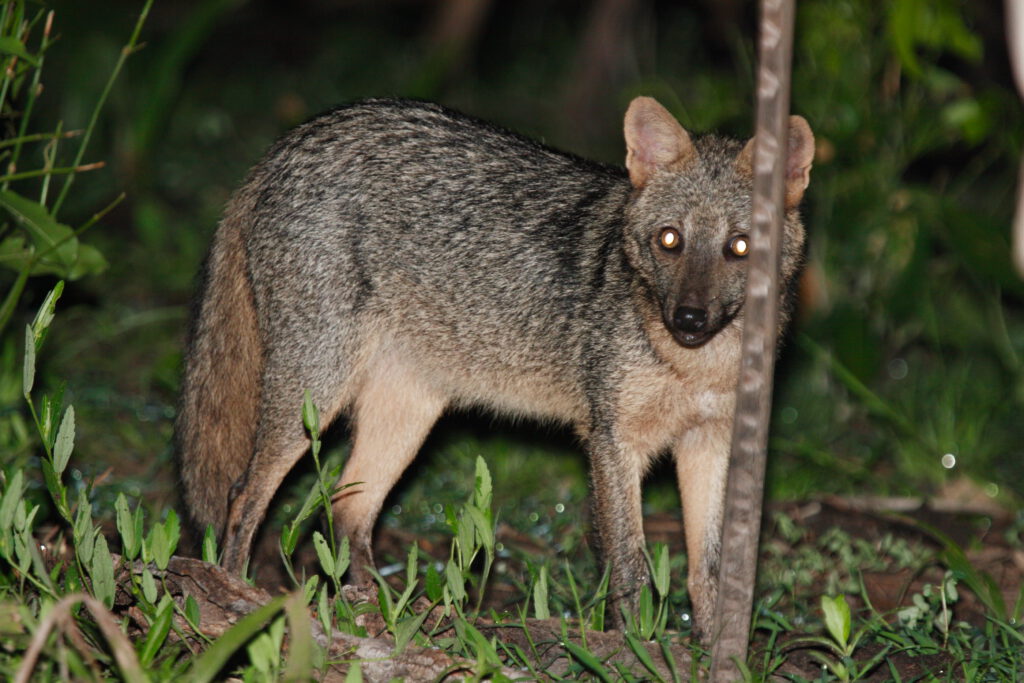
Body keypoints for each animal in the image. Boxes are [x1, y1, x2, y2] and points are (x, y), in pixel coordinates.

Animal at [176, 95, 814, 633]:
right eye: (670, 240)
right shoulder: (612, 442)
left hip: (407, 417)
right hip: (311, 400)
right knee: (244, 496)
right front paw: (633, 649)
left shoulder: (710, 443)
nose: (688, 320)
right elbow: (629, 564)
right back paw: (237, 600)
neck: (697, 367)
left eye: (738, 248)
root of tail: (291, 142)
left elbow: (710, 575)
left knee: (348, 506)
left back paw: (375, 614)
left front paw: (713, 652)